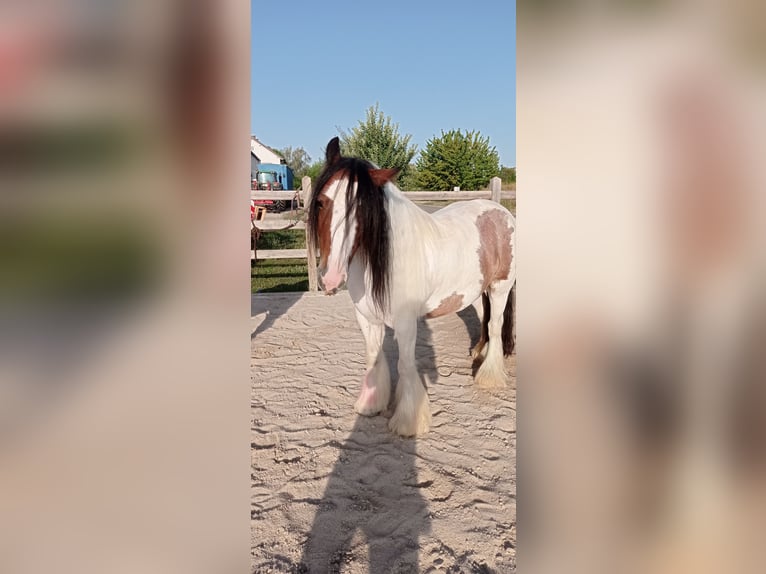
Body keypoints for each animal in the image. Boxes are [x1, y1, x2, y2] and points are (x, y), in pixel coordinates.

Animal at [308, 137, 516, 436]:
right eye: (322, 202)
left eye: (361, 210)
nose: (330, 277)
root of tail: (501, 212)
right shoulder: (366, 318)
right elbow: (374, 358)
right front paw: (370, 405)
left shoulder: (405, 323)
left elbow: (405, 366)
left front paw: (408, 422)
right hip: (475, 292)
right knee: (483, 320)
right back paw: (479, 354)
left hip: (500, 288)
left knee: (495, 325)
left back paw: (489, 377)